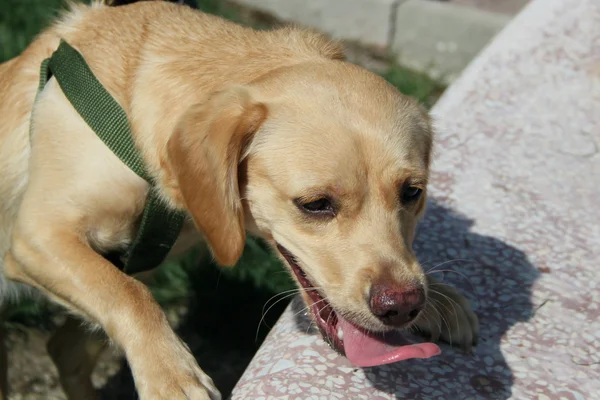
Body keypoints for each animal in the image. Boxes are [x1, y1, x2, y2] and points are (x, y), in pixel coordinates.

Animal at [0, 1, 478, 398]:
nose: (404, 305)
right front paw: (172, 375)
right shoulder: (37, 235)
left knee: (65, 350)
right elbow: (129, 295)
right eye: (315, 204)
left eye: (412, 192)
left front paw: (437, 297)